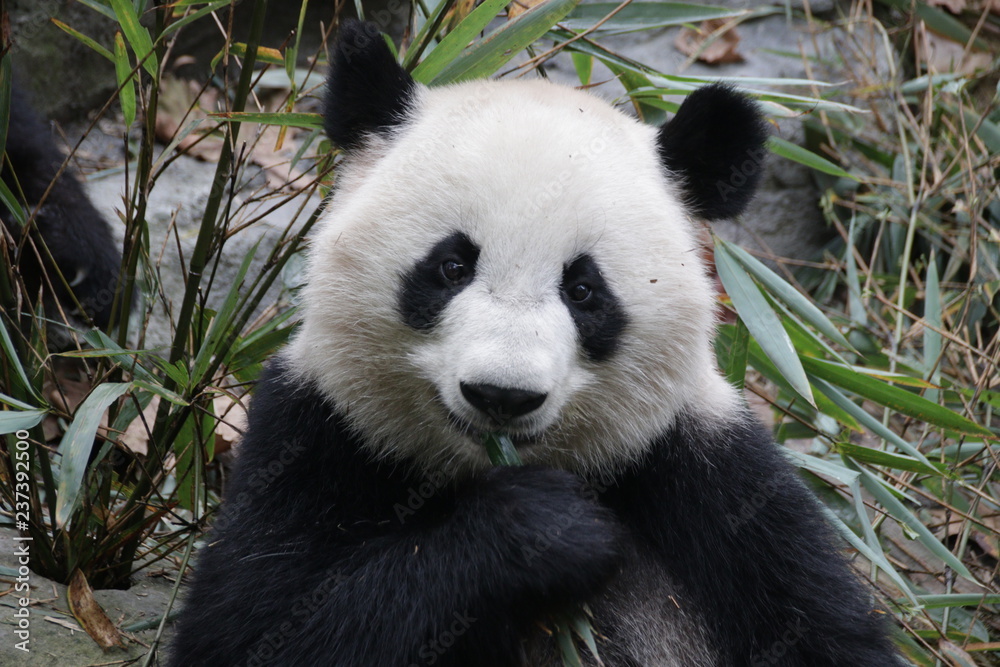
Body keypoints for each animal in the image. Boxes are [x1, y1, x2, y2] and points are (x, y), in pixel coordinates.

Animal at [169, 19, 899, 667]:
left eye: (583, 289)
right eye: (451, 266)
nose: (502, 395)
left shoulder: (711, 473)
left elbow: (821, 629)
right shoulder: (317, 431)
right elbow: (259, 628)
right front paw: (546, 530)